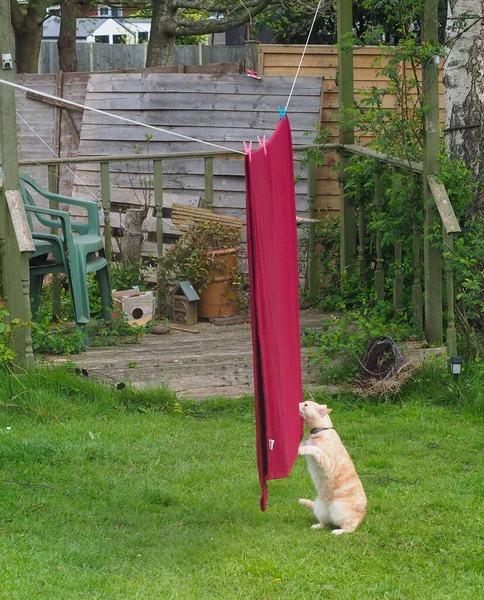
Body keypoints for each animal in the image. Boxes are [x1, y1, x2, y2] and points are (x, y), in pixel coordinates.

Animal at [296, 404, 364, 536]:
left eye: (306, 404)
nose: (299, 403)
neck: (318, 431)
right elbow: (305, 445)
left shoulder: (328, 464)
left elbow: (315, 449)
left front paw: (301, 450)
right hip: (320, 507)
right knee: (326, 523)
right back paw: (317, 526)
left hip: (340, 509)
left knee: (349, 528)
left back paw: (337, 531)